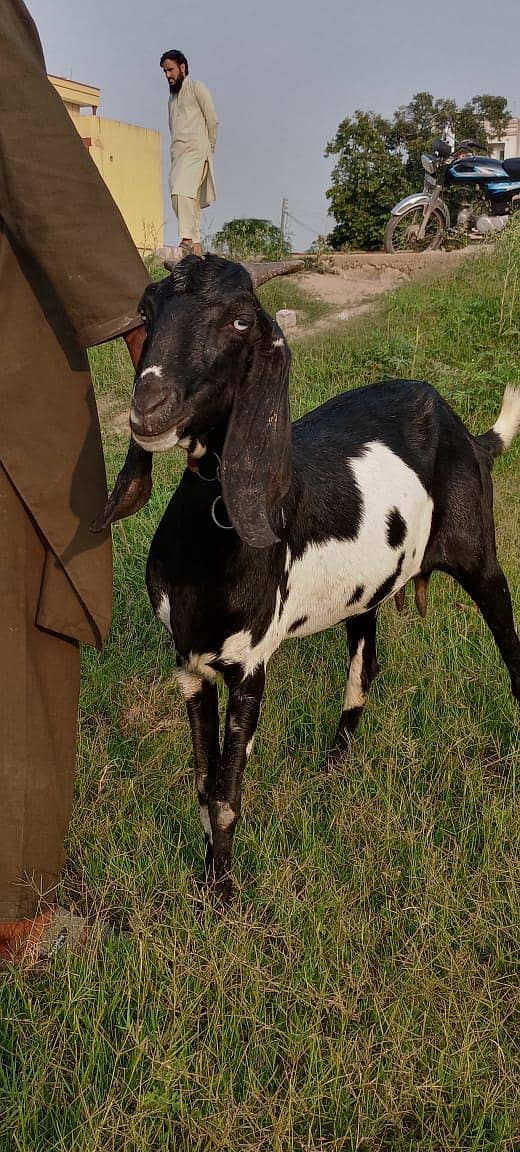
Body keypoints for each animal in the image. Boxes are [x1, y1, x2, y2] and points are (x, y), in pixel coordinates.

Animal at [94, 254, 520, 902]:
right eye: (146, 310)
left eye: (241, 320)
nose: (149, 406)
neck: (214, 528)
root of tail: (462, 429)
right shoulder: (189, 667)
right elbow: (204, 781)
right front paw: (207, 880)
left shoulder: (249, 666)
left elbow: (227, 791)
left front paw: (223, 896)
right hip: (366, 592)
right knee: (365, 666)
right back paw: (333, 767)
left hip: (480, 556)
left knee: (510, 641)